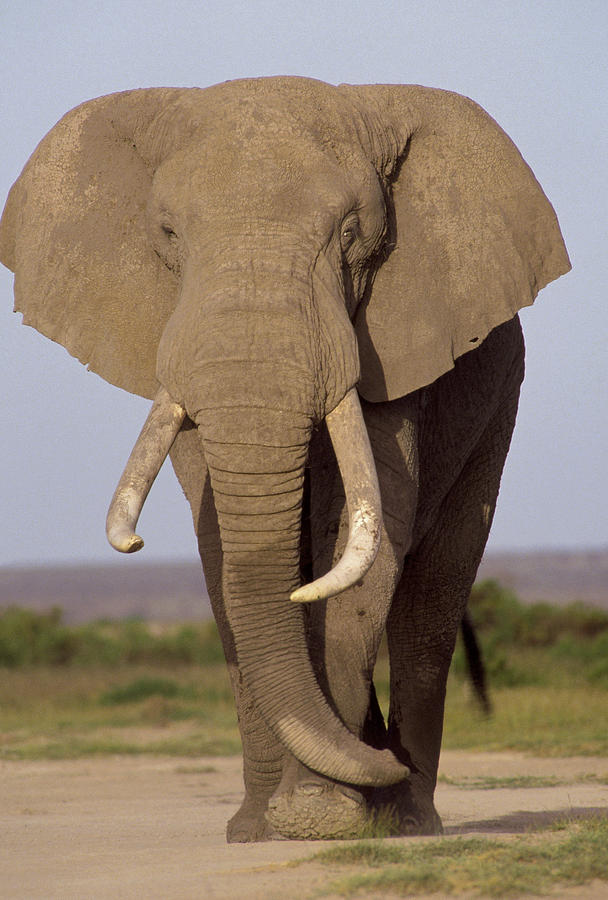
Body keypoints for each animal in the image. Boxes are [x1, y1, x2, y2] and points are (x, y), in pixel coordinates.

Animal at [1, 77, 568, 844]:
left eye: (352, 235)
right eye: (168, 235)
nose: (381, 761)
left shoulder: (392, 346)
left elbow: (366, 539)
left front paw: (318, 816)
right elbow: (221, 550)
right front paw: (258, 828)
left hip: (501, 395)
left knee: (433, 598)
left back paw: (409, 816)